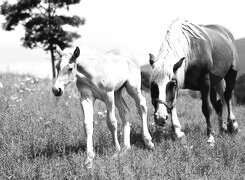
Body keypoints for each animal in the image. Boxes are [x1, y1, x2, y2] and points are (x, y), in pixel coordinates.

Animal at [149, 18, 239, 146]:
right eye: (153, 85)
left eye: (171, 84)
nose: (160, 117)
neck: (191, 50)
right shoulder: (179, 79)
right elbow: (173, 104)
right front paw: (178, 132)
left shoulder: (204, 81)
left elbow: (206, 108)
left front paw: (210, 137)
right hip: (214, 82)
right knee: (218, 103)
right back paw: (222, 128)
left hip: (231, 73)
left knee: (227, 96)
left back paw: (233, 125)